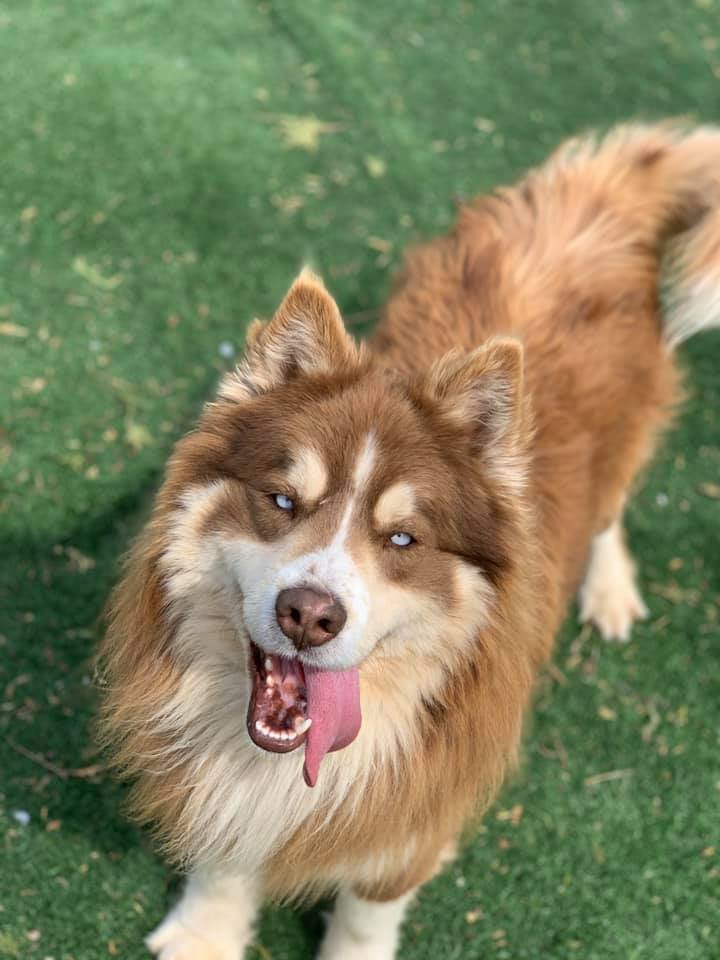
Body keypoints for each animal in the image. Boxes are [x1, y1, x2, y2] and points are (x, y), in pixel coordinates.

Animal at [98, 125, 720, 960]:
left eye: (402, 538)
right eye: (282, 500)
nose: (308, 615)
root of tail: (594, 196)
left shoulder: (417, 811)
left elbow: (366, 911)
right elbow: (227, 849)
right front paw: (206, 934)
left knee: (610, 508)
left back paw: (611, 588)